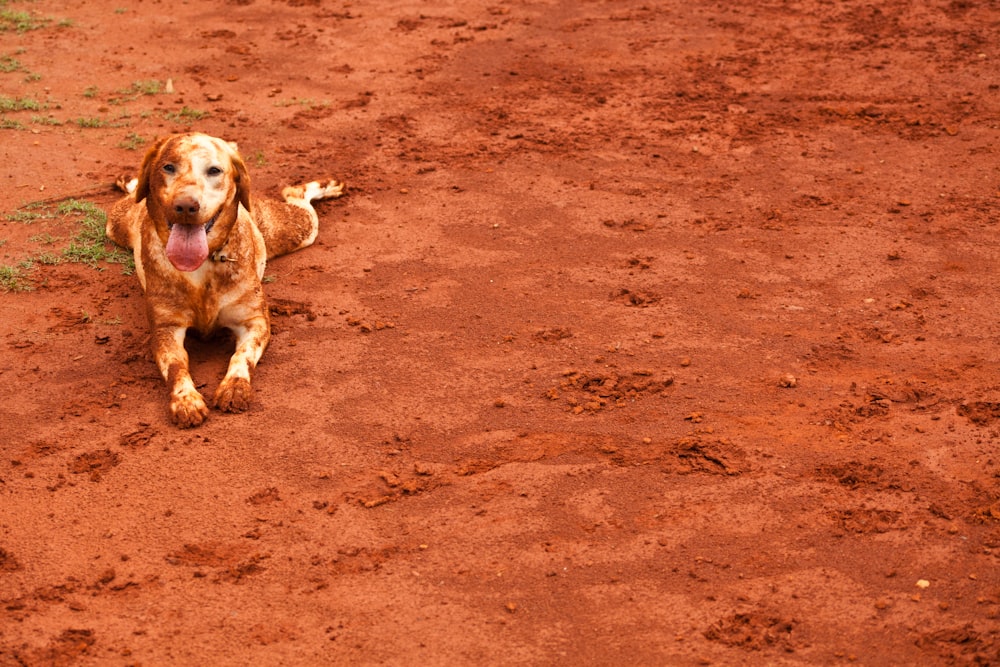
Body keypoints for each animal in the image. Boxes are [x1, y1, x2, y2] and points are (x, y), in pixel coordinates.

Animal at [107, 132, 346, 428]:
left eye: (214, 170)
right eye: (168, 167)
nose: (185, 206)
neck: (203, 264)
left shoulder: (255, 322)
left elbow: (241, 355)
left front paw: (234, 387)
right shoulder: (165, 329)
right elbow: (176, 365)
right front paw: (186, 399)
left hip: (297, 229)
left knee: (296, 194)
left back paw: (327, 186)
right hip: (115, 225)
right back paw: (130, 183)